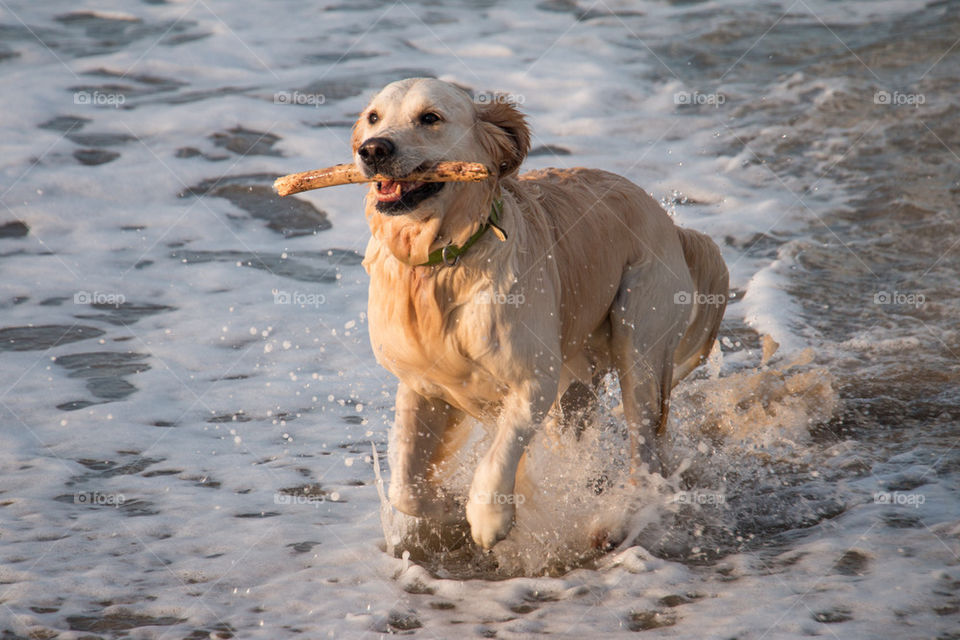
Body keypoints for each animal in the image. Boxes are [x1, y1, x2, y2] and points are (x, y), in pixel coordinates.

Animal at [354, 77, 728, 552]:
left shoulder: (534, 378)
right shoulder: (421, 383)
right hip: (579, 379)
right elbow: (406, 487)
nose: (372, 149)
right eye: (373, 118)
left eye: (430, 118)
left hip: (640, 336)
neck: (444, 264)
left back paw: (618, 521)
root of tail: (673, 226)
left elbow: (501, 454)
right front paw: (449, 507)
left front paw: (489, 517)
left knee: (645, 451)